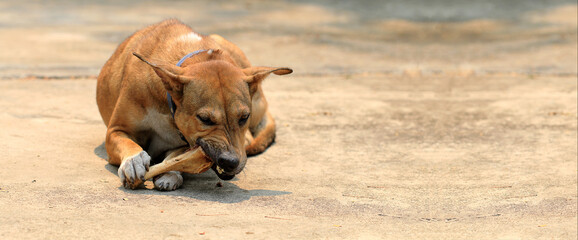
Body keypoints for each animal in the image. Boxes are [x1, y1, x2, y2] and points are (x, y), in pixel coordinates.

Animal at [97, 19, 292, 190]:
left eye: (244, 117)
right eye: (204, 119)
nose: (231, 162)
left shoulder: (187, 143)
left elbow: (176, 158)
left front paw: (171, 173)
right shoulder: (116, 129)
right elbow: (126, 142)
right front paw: (134, 160)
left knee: (250, 139)